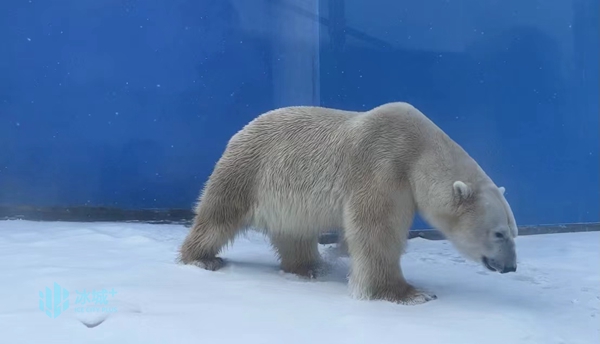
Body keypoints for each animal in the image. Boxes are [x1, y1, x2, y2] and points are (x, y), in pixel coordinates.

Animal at [177, 101, 516, 304]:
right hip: (249, 171)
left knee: (294, 231)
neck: (417, 151)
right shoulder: (383, 167)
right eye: (499, 233)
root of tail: (242, 130)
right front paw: (410, 293)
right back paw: (202, 258)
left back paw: (310, 268)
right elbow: (377, 231)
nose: (511, 267)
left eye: (513, 232)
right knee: (218, 215)